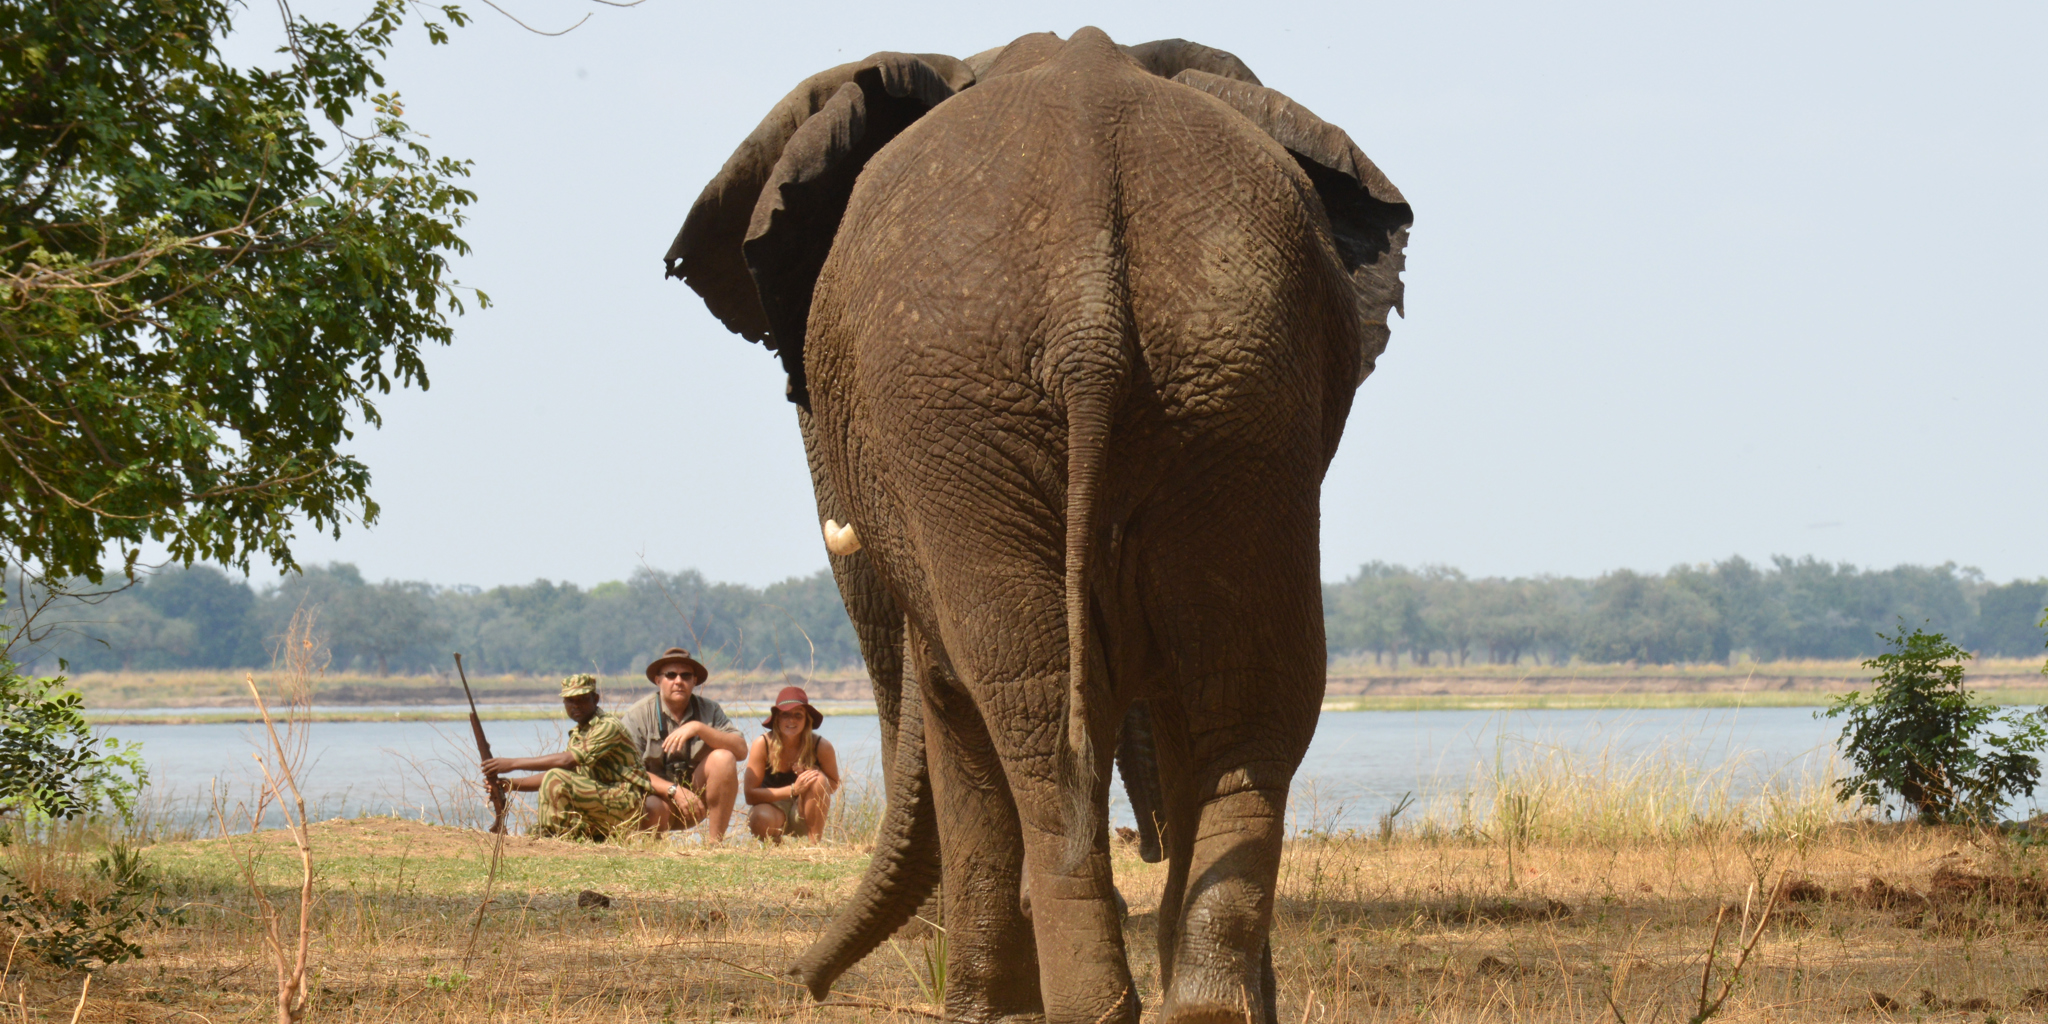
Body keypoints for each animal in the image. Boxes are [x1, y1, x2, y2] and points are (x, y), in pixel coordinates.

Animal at [663, 28, 1409, 1024]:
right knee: (1248, 692)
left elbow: (951, 702)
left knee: (1023, 699)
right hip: (1238, 389)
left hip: (968, 407)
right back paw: (1202, 1010)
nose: (805, 985)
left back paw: (1083, 1004)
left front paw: (983, 1008)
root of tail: (1089, 313)